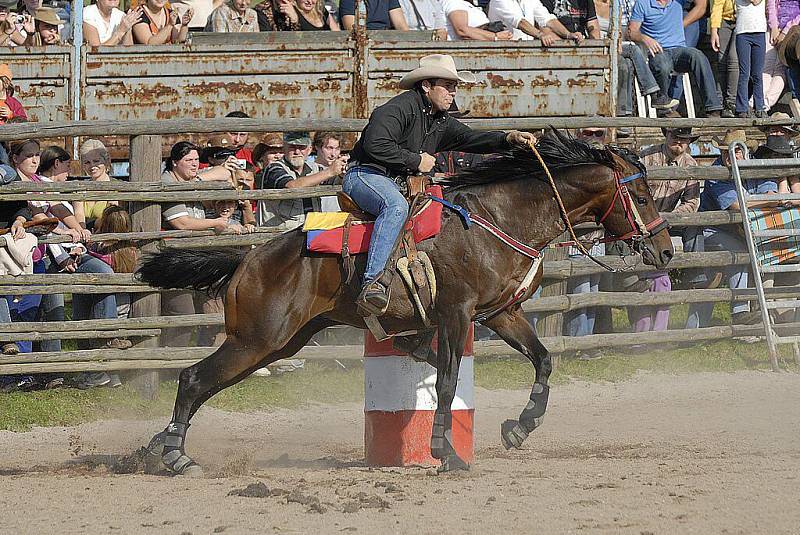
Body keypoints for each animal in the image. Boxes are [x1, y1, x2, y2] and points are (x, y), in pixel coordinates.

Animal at [139, 133, 676, 478]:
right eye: (642, 193)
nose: (666, 250)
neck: (501, 218)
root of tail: (249, 256)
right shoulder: (457, 314)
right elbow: (447, 382)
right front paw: (447, 453)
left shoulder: (502, 313)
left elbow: (542, 360)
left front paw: (520, 428)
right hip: (257, 339)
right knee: (194, 379)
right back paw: (175, 456)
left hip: (278, 344)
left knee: (203, 384)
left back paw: (159, 446)